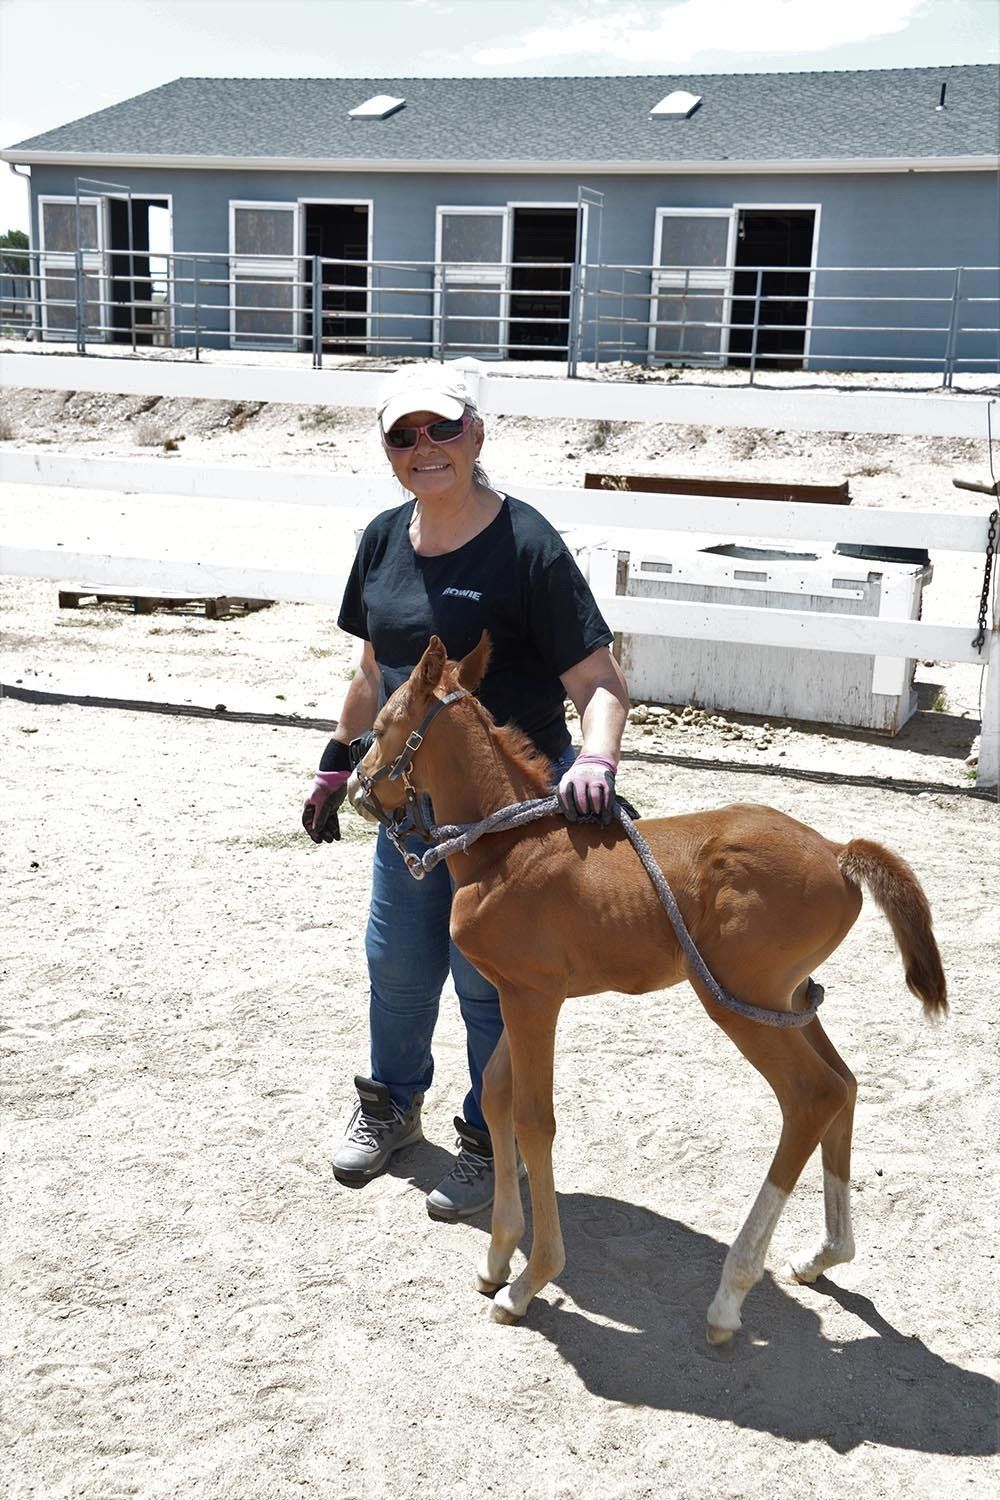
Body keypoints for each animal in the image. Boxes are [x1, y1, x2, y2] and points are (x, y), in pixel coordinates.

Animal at [347, 633, 947, 1343]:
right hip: (787, 999)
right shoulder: (520, 996)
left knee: (813, 1095)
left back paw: (730, 1295)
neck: (507, 849)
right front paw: (497, 1258)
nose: (353, 785)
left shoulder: (533, 998)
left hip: (737, 1002)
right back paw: (824, 1254)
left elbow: (533, 1118)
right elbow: (495, 1096)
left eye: (384, 726)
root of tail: (836, 851)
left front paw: (528, 1282)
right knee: (846, 1085)